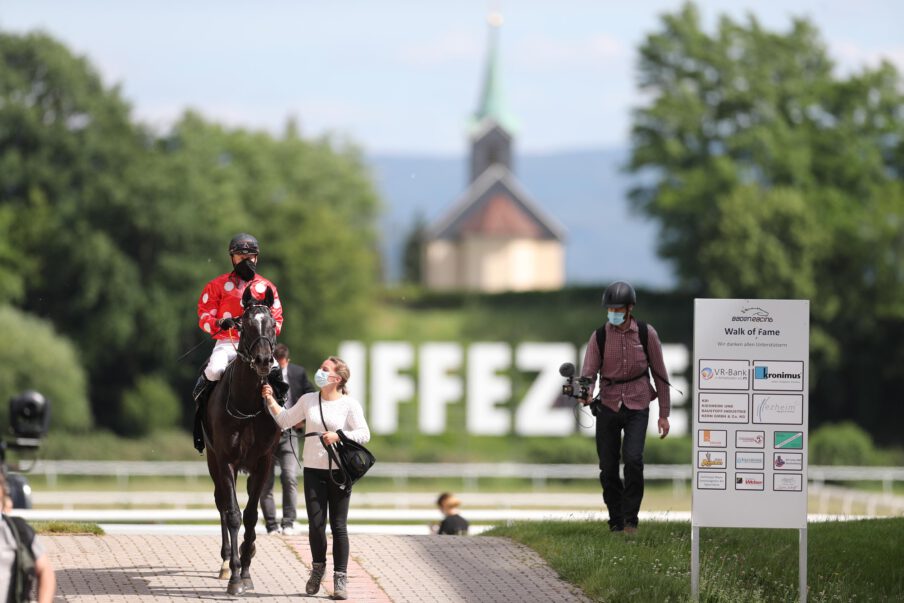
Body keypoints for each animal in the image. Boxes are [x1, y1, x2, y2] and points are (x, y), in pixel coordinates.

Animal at [202, 286, 280, 596]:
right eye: (244, 326)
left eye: (271, 325)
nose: (263, 361)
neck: (247, 405)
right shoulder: (225, 460)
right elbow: (233, 513)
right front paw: (235, 575)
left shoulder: (263, 462)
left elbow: (250, 515)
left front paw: (246, 571)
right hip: (213, 459)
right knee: (222, 502)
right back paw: (226, 564)